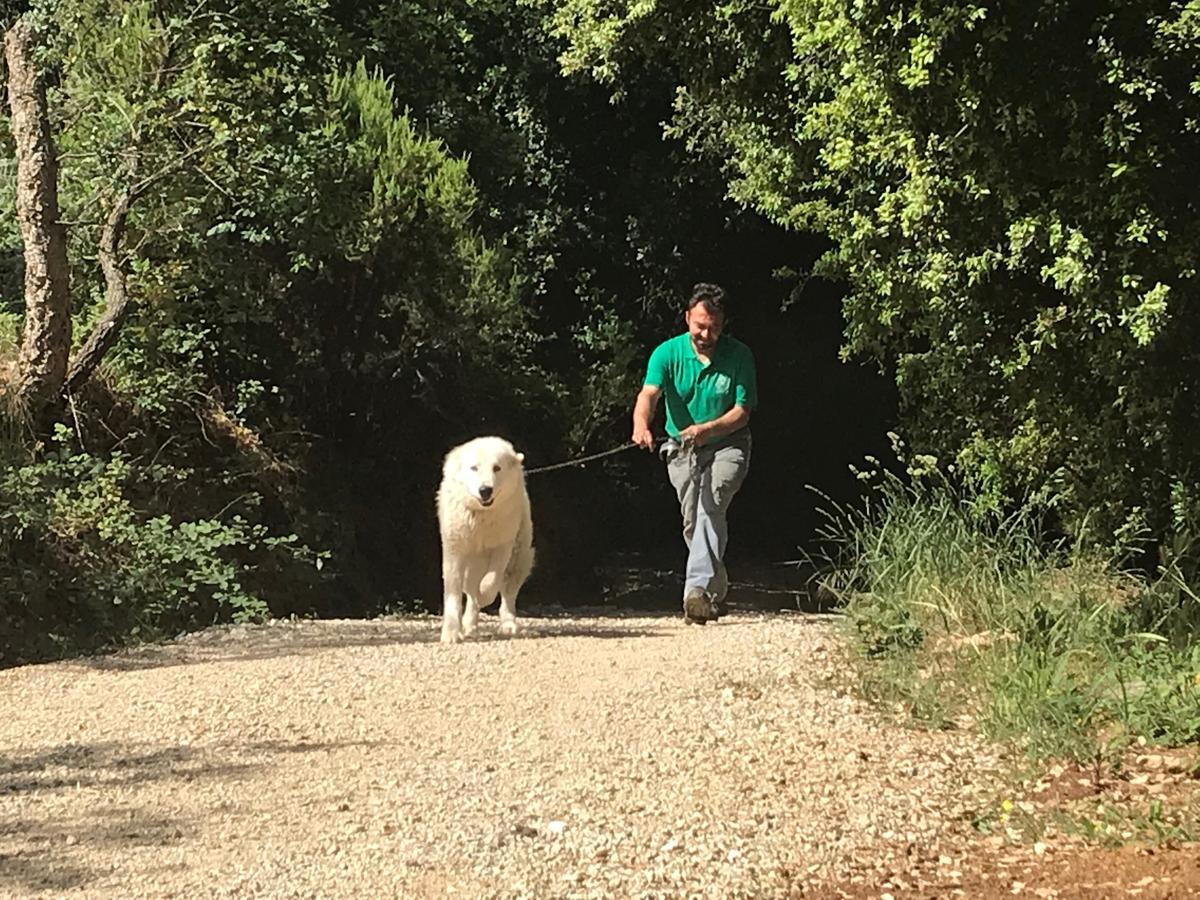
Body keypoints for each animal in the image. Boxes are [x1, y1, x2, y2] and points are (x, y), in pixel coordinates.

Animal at [436, 434, 535, 643]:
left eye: (497, 467)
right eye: (474, 468)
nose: (485, 490)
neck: (482, 514)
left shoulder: (503, 539)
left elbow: (493, 577)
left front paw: (484, 595)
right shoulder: (455, 544)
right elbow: (453, 588)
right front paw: (451, 633)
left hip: (521, 546)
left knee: (509, 584)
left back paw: (508, 624)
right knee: (470, 585)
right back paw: (469, 626)